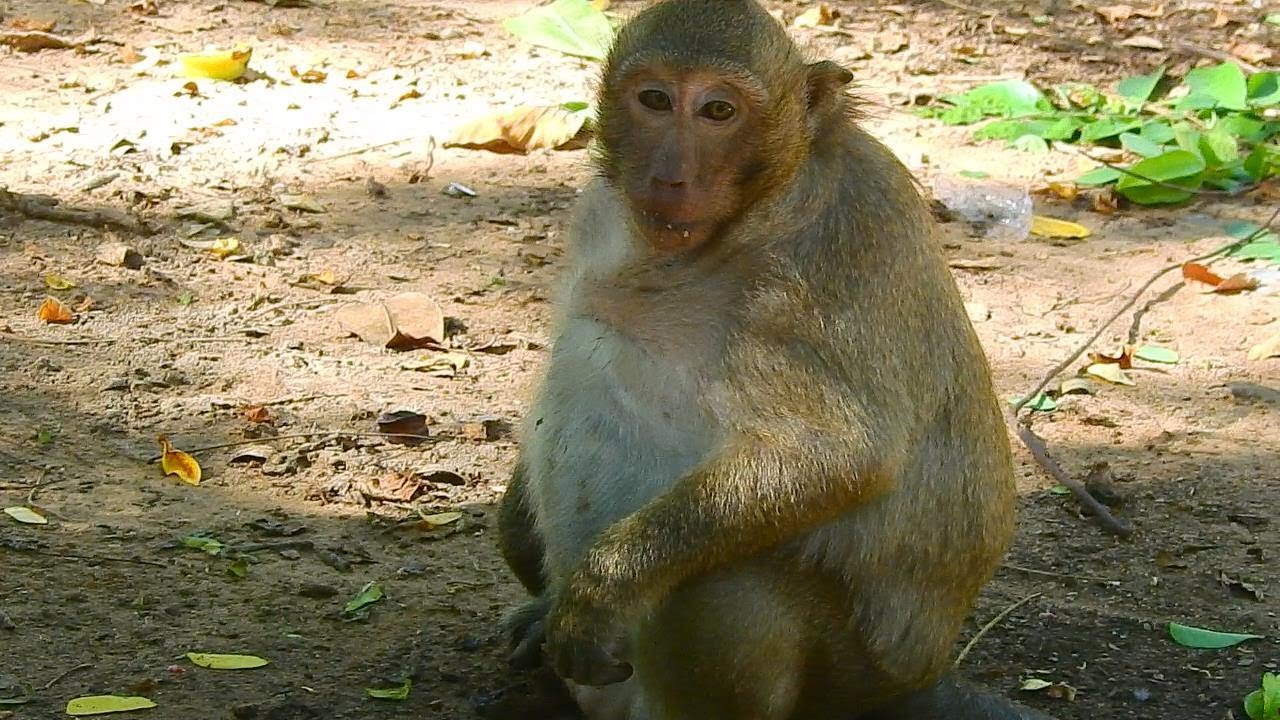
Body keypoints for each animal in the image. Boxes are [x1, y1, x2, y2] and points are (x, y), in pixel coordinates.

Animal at [495, 1, 1055, 719]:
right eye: (654, 100)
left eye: (718, 110)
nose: (670, 176)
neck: (757, 204)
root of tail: (925, 678)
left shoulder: (819, 261)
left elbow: (834, 454)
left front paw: (601, 590)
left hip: (846, 680)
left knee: (720, 589)